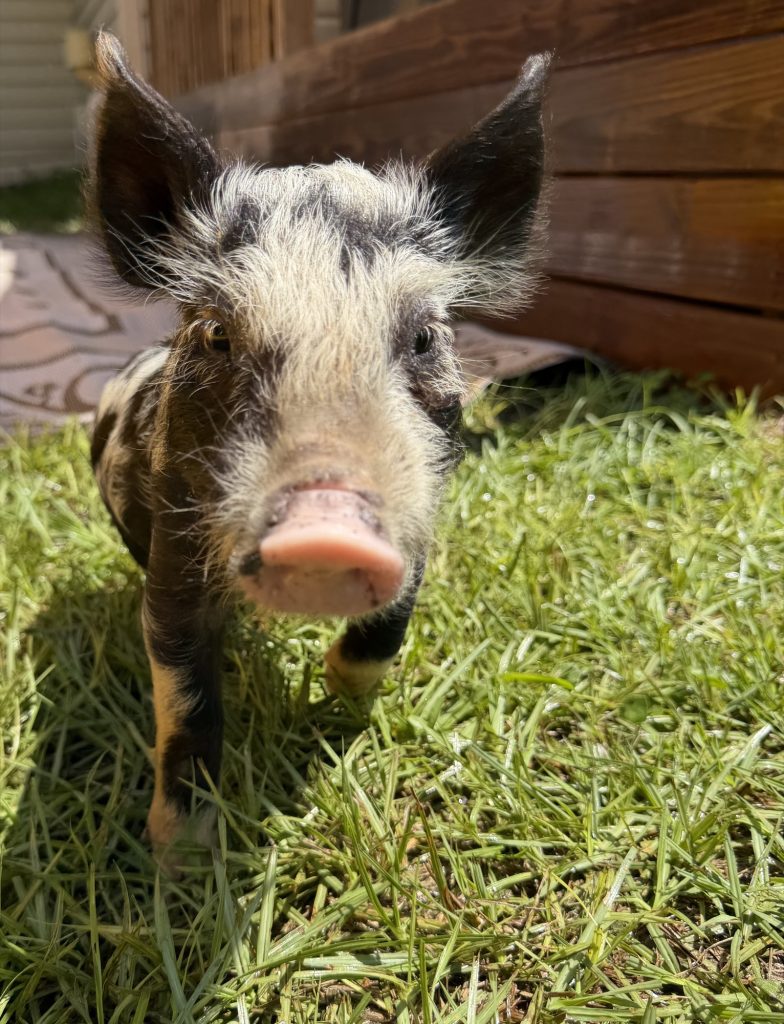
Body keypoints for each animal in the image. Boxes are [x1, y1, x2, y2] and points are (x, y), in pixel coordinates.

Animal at [88, 32, 550, 859]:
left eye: (425, 337)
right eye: (216, 333)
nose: (324, 523)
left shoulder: (421, 517)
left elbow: (388, 627)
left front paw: (339, 705)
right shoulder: (176, 541)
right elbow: (185, 694)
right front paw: (180, 858)